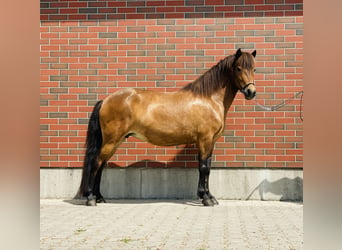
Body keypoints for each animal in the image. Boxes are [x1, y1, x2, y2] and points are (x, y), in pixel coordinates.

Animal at [80, 47, 256, 206]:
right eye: (239, 68)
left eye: (254, 69)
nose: (251, 92)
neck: (208, 99)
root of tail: (105, 100)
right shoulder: (204, 140)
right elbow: (204, 167)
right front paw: (206, 198)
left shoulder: (211, 142)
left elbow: (208, 168)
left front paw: (210, 196)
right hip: (111, 141)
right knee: (96, 163)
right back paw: (91, 198)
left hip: (115, 141)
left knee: (101, 165)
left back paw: (100, 197)